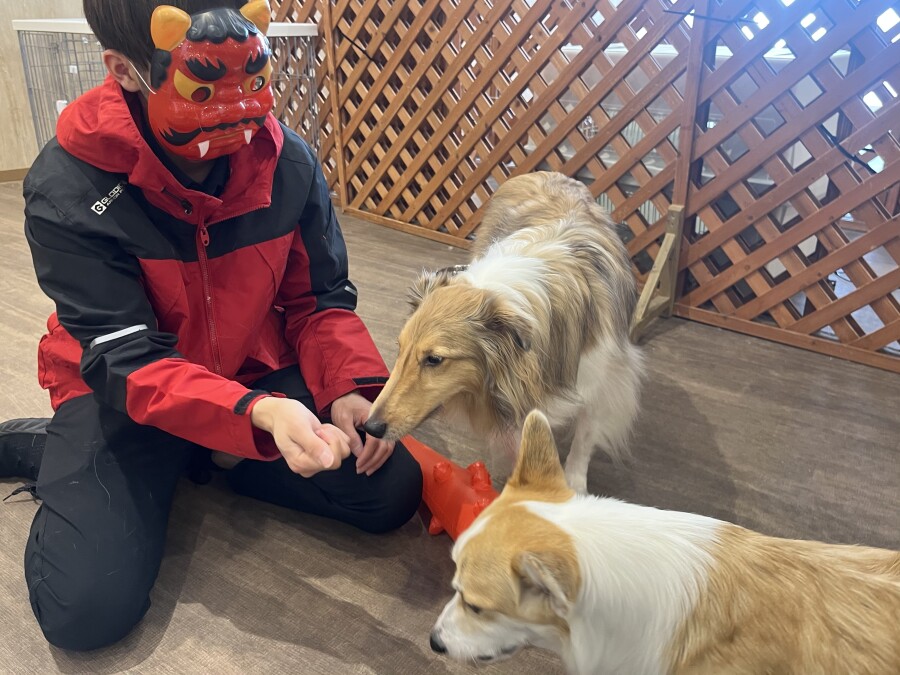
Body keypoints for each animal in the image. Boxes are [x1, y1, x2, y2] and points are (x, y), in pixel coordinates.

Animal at [363, 171, 644, 492]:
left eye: (434, 359)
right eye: (399, 349)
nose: (370, 428)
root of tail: (545, 173)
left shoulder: (601, 381)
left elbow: (583, 440)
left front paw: (574, 487)